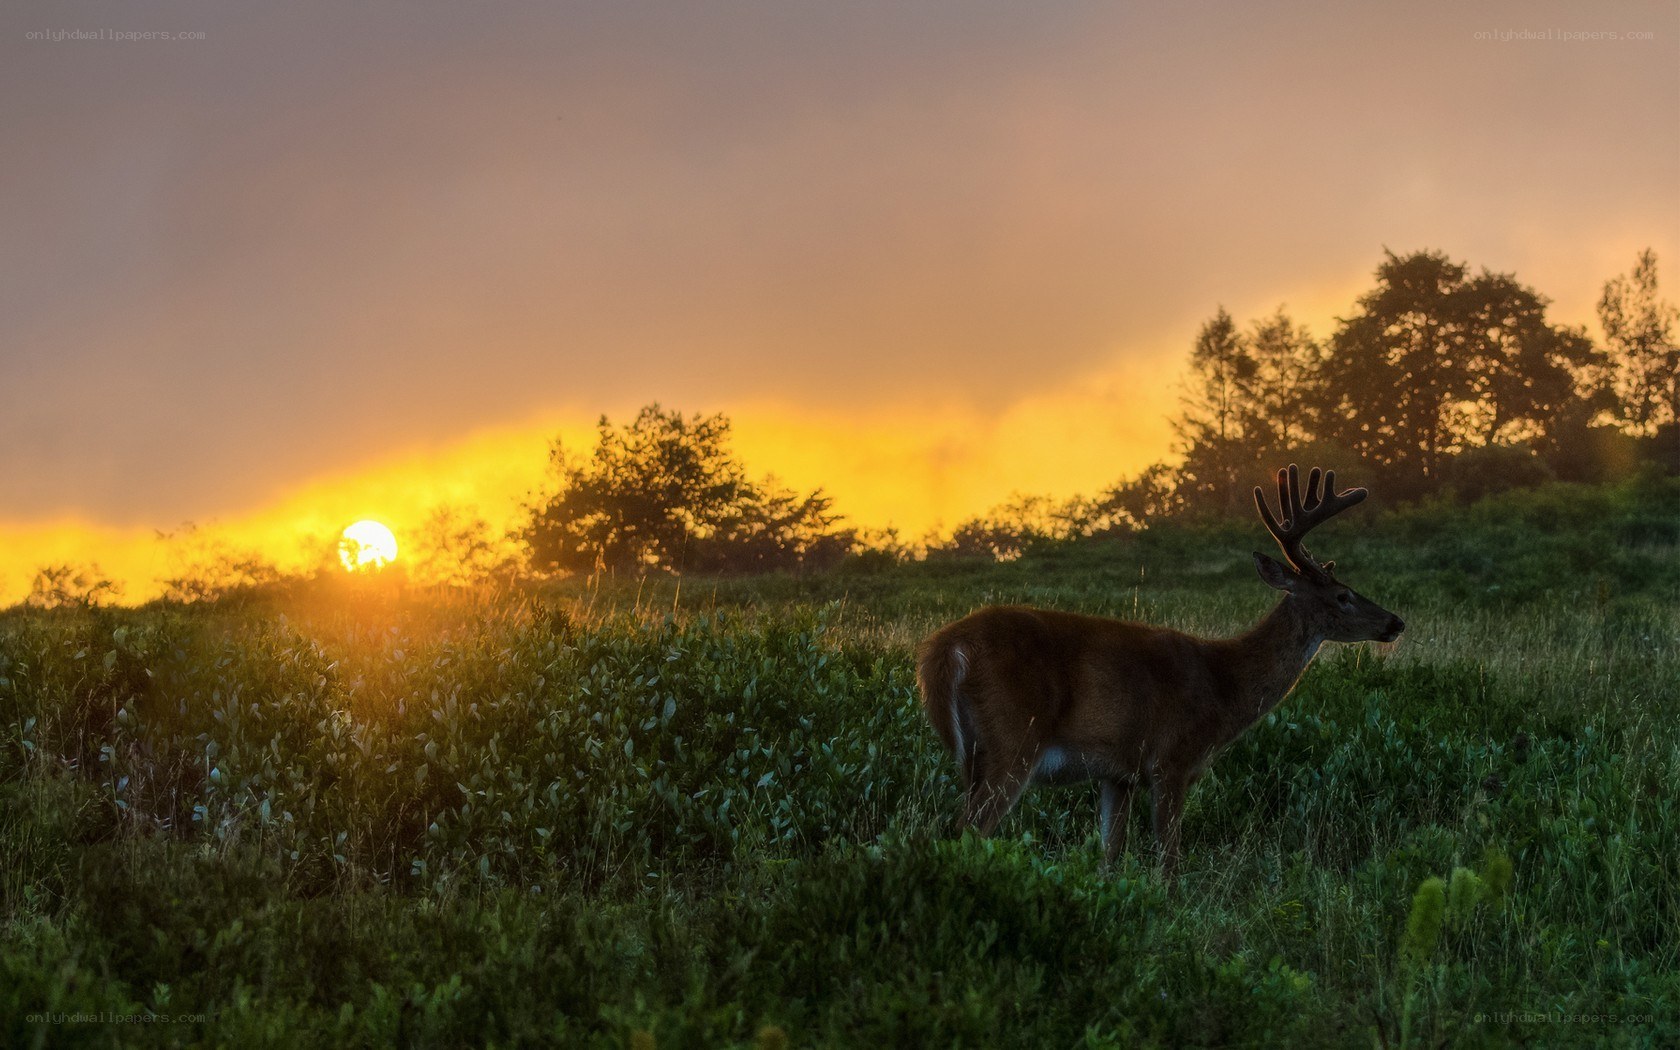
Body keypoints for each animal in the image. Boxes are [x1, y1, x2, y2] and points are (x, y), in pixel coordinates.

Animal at [916, 465, 1404, 877]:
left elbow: (1110, 856)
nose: (1395, 622)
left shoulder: (1119, 772)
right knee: (965, 831)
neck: (1224, 685)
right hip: (1013, 738)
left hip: (974, 753)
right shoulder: (1172, 759)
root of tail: (945, 646)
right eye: (1343, 596)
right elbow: (1169, 861)